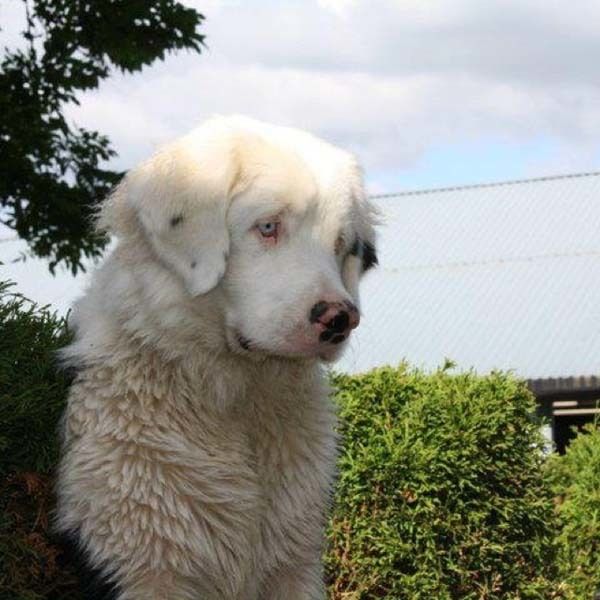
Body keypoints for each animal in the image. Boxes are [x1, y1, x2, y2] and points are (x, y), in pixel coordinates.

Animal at [55, 115, 376, 596]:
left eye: (340, 245)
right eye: (268, 227)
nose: (340, 317)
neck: (236, 402)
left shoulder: (293, 564)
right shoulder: (144, 562)